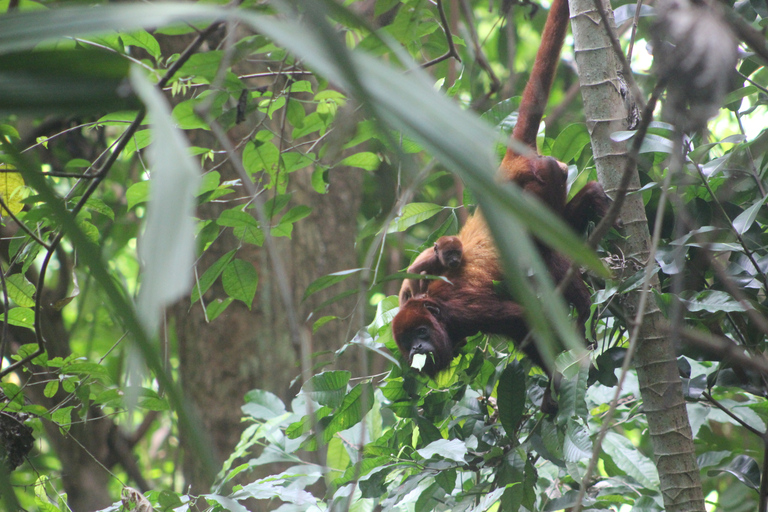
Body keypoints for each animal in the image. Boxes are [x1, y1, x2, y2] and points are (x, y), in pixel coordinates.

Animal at [392, 0, 616, 380]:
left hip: (540, 183)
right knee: (576, 210)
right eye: (407, 343)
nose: (417, 350)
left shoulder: (463, 308)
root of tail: (508, 166)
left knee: (545, 250)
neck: (439, 313)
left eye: (421, 332)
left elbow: (522, 321)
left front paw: (560, 378)